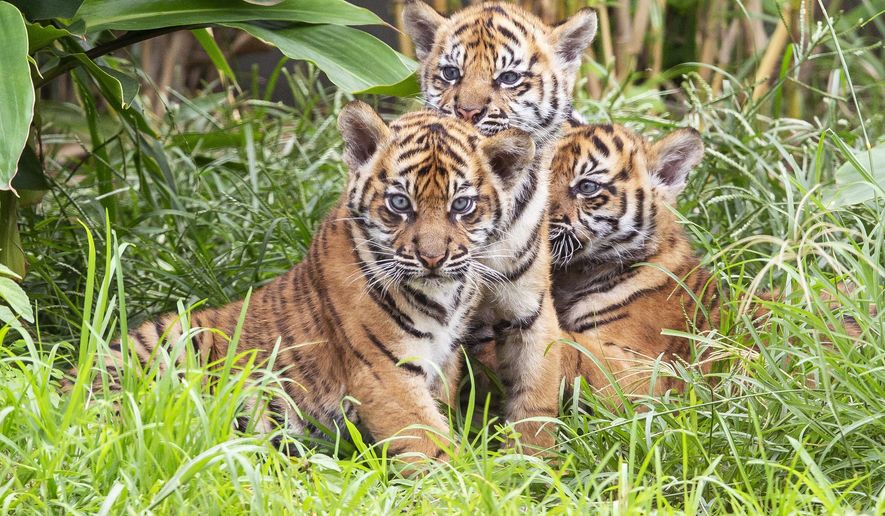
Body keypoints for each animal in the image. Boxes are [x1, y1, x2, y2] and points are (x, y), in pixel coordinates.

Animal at [69, 102, 537, 462]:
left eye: (462, 206)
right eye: (400, 203)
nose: (433, 258)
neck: (444, 295)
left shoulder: (442, 364)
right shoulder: (384, 372)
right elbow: (431, 443)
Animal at [402, 0, 598, 451]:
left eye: (508, 77)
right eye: (450, 73)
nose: (467, 111)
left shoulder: (529, 307)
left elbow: (535, 396)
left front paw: (531, 461)